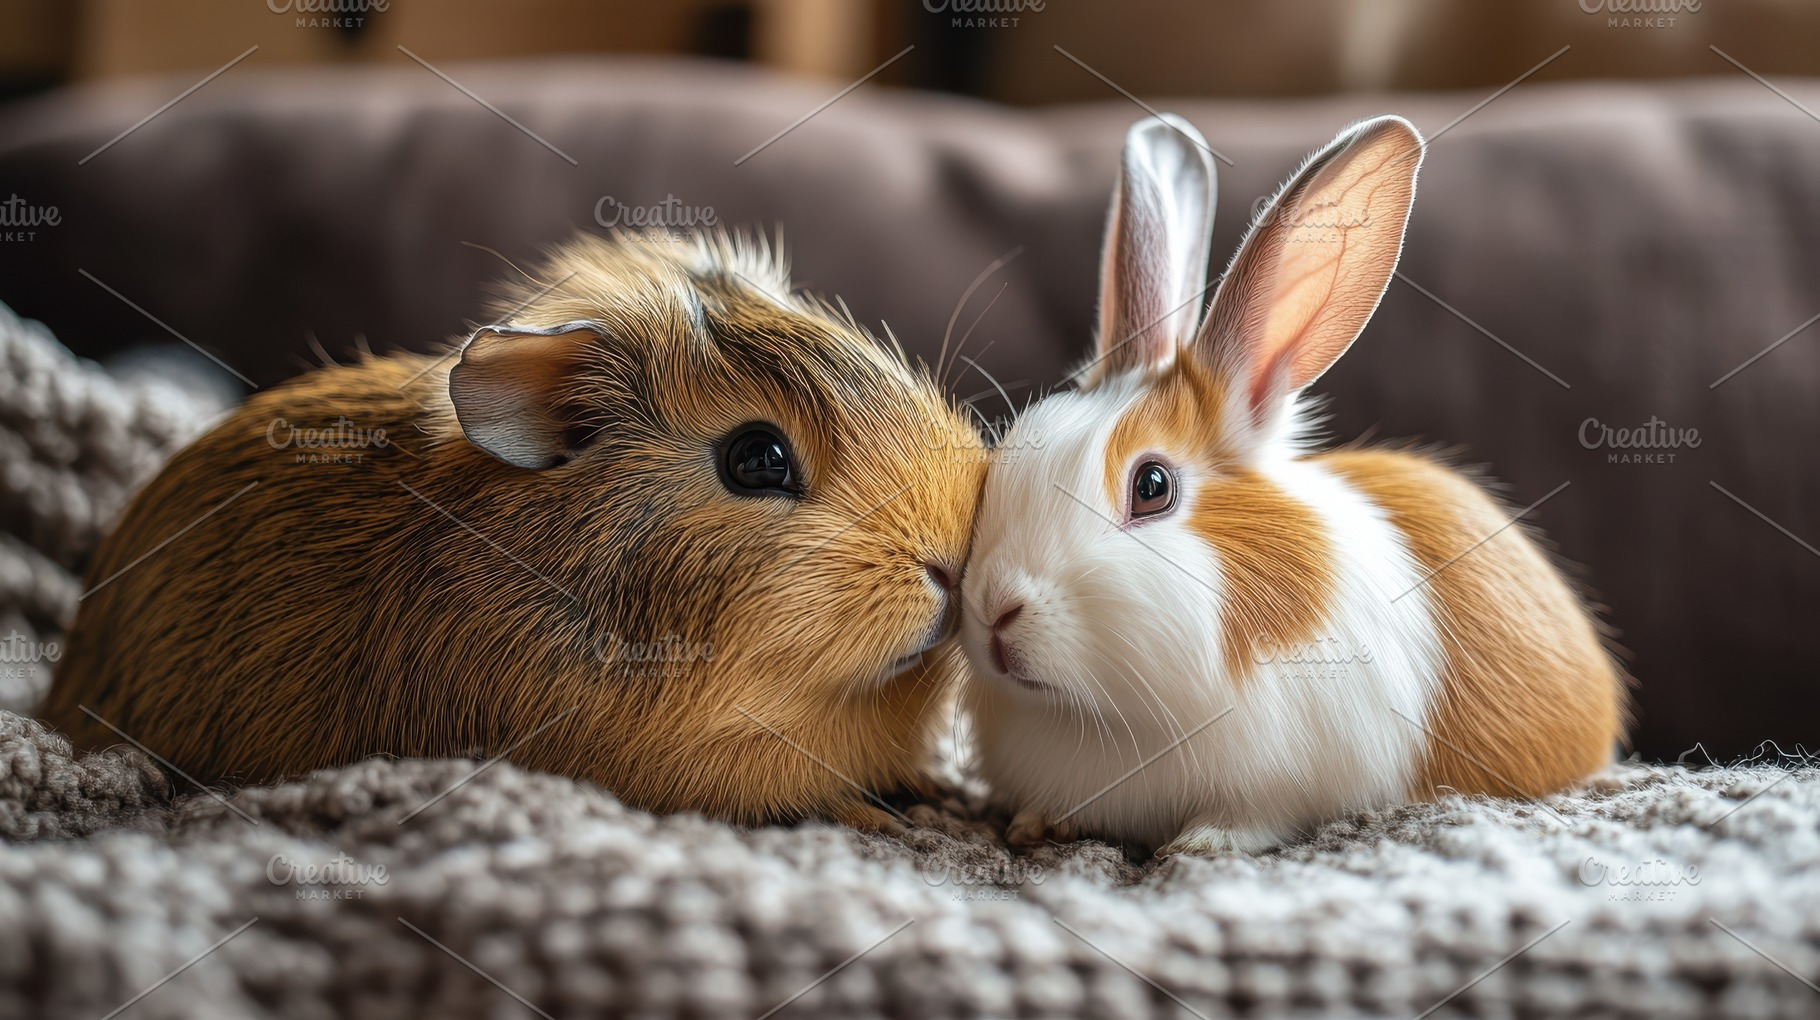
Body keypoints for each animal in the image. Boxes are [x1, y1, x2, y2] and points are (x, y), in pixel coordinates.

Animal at [958, 114, 1628, 856]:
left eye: (1152, 486)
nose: (994, 609)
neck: (1098, 716)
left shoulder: (1289, 779)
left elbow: (1255, 815)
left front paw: (1201, 844)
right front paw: (1034, 822)